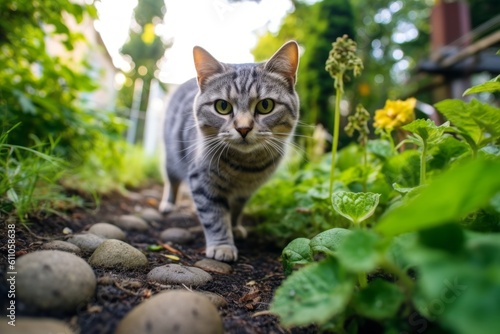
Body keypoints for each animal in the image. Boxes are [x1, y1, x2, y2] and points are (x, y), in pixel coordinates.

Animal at [162, 41, 298, 260]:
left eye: (265, 105)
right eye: (222, 106)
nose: (243, 128)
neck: (244, 167)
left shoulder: (246, 192)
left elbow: (235, 210)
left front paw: (234, 227)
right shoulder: (202, 181)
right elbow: (214, 216)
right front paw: (222, 246)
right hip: (172, 157)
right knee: (171, 182)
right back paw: (168, 204)